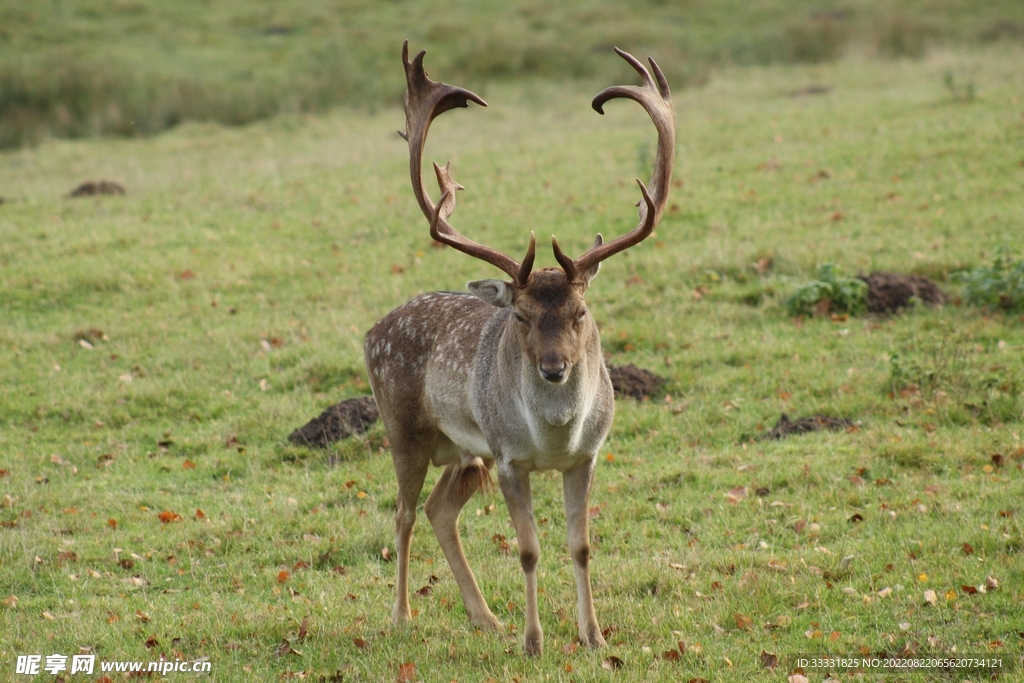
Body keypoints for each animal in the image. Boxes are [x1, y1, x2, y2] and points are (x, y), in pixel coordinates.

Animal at [364, 41, 674, 656]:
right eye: (523, 316)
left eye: (581, 313)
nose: (555, 369)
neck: (554, 438)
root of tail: (370, 332)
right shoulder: (508, 458)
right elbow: (528, 550)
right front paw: (534, 643)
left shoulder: (587, 456)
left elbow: (581, 546)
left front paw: (593, 636)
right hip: (403, 427)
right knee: (404, 512)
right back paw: (402, 615)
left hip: (464, 450)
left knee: (438, 509)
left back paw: (485, 618)